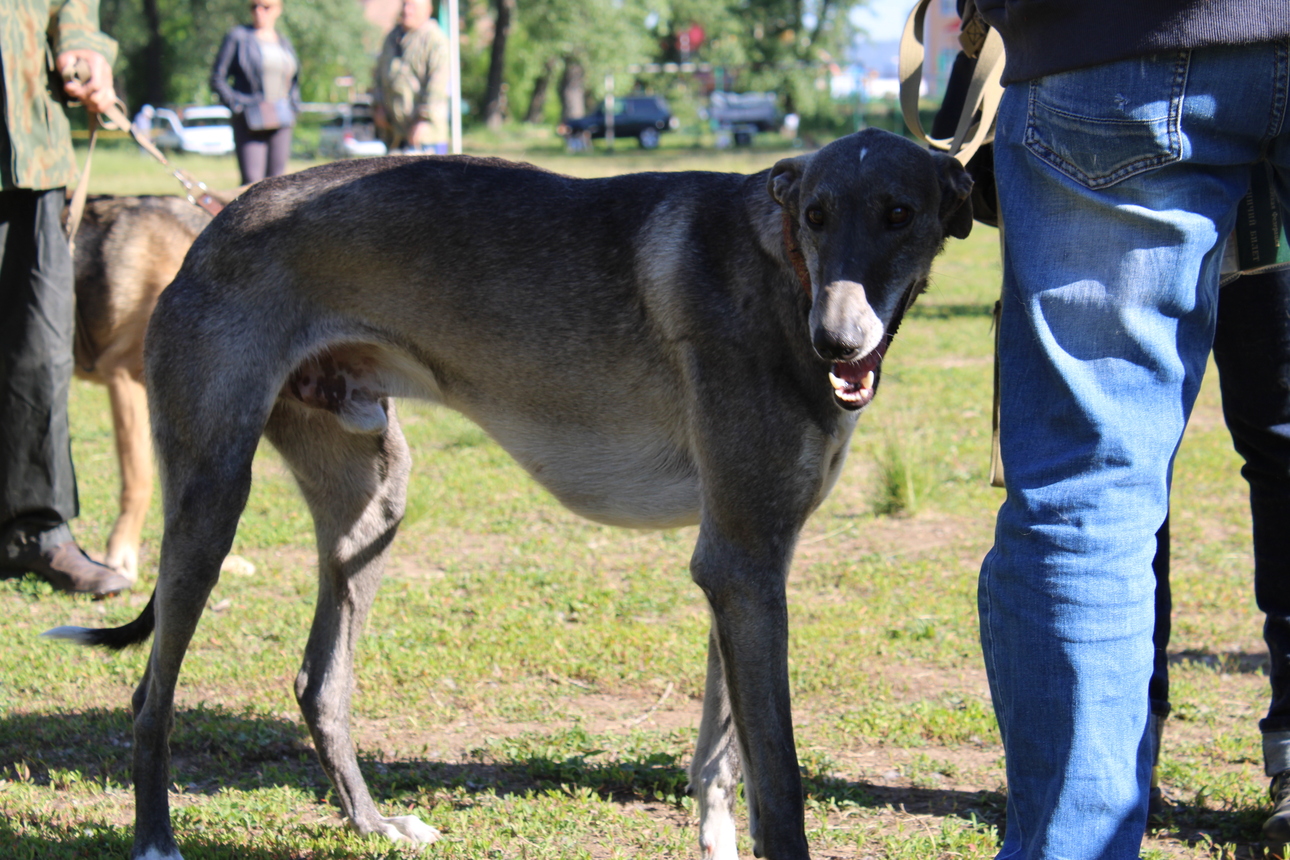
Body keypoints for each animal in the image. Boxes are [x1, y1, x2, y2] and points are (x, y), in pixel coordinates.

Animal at [52, 127, 975, 860]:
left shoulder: (749, 562)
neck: (778, 267)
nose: (836, 343)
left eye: (900, 212)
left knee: (320, 683)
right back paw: (155, 842)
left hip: (371, 502)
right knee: (149, 695)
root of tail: (217, 221)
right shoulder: (741, 561)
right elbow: (778, 781)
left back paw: (376, 826)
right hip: (210, 499)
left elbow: (721, 759)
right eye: (816, 215)